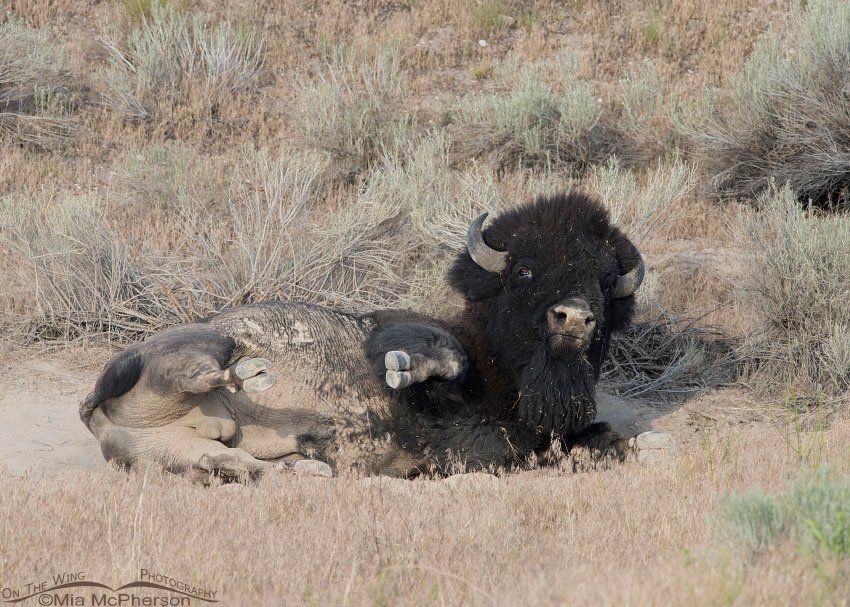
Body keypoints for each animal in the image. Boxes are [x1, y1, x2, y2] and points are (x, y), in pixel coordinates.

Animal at [80, 191, 669, 479]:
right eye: (525, 271)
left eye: (603, 281)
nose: (574, 318)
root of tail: (94, 411)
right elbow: (438, 356)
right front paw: (406, 366)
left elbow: (605, 438)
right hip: (195, 353)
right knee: (210, 370)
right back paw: (253, 373)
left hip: (187, 452)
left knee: (237, 465)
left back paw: (309, 468)